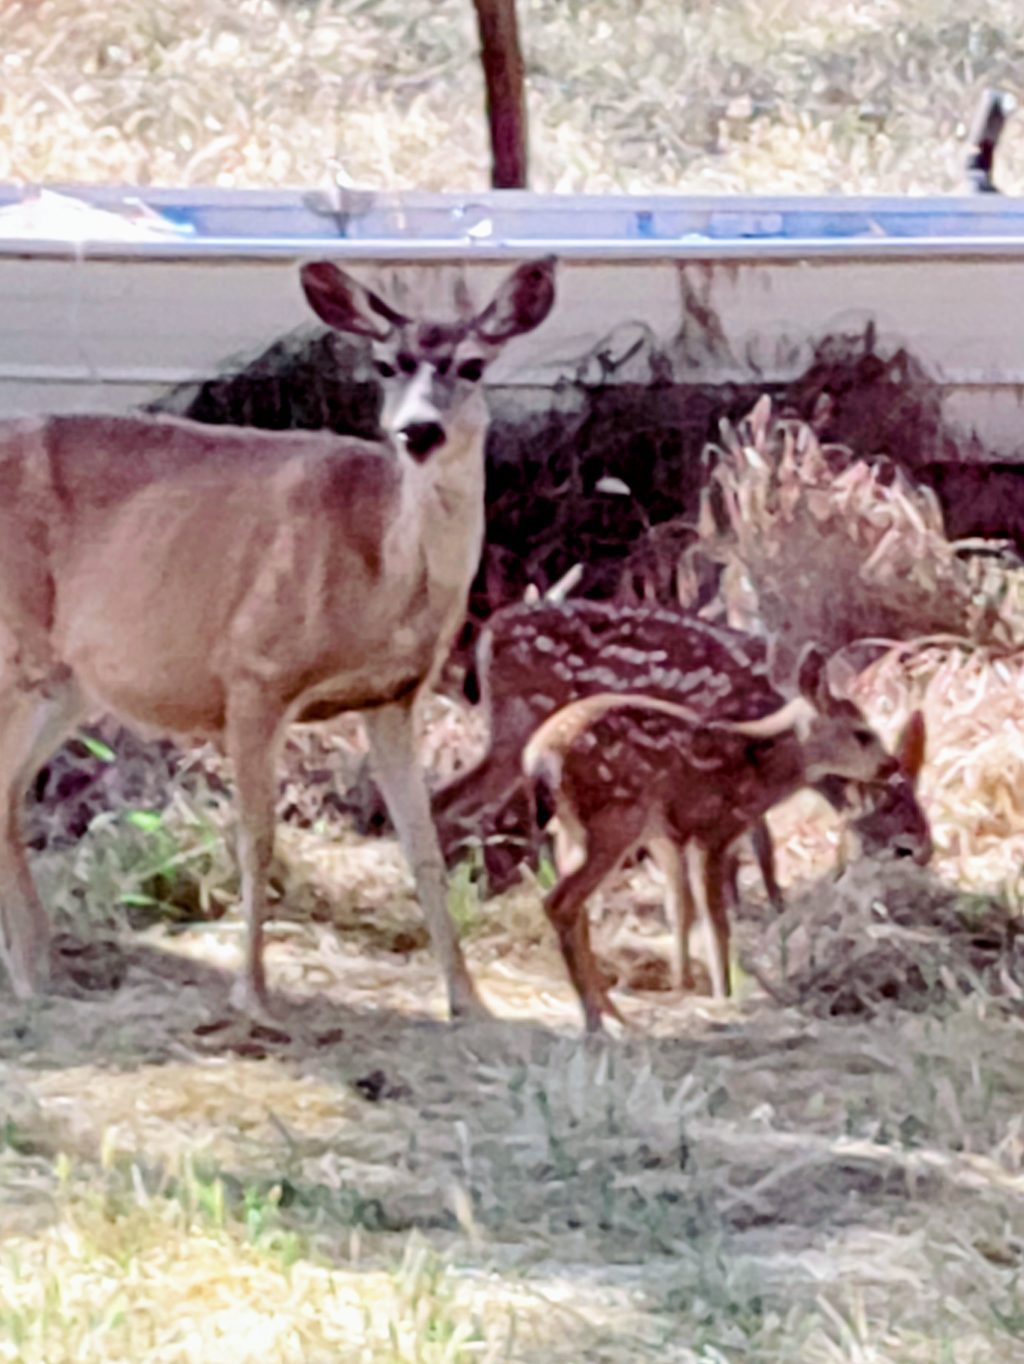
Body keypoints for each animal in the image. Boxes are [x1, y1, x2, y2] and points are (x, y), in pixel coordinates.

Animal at [0, 254, 557, 1019]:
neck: (380, 578)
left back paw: (38, 971)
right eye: (385, 364)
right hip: (17, 649)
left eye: (472, 365)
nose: (418, 431)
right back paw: (32, 973)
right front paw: (253, 995)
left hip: (68, 684)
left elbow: (423, 845)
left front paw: (467, 1001)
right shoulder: (254, 670)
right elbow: (256, 838)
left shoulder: (396, 696)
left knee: (7, 793)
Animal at [431, 600, 931, 907]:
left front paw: (766, 898)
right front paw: (756, 901)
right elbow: (758, 836)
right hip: (520, 724)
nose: (926, 852)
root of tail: (485, 637)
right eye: (891, 802)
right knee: (451, 798)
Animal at [520, 644, 927, 1032]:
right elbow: (716, 922)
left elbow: (680, 909)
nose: (890, 765)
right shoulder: (711, 831)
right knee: (560, 902)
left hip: (574, 831)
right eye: (862, 733)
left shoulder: (673, 835)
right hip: (614, 821)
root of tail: (541, 757)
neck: (756, 773)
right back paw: (595, 1020)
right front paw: (723, 996)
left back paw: (612, 1011)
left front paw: (691, 987)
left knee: (575, 907)